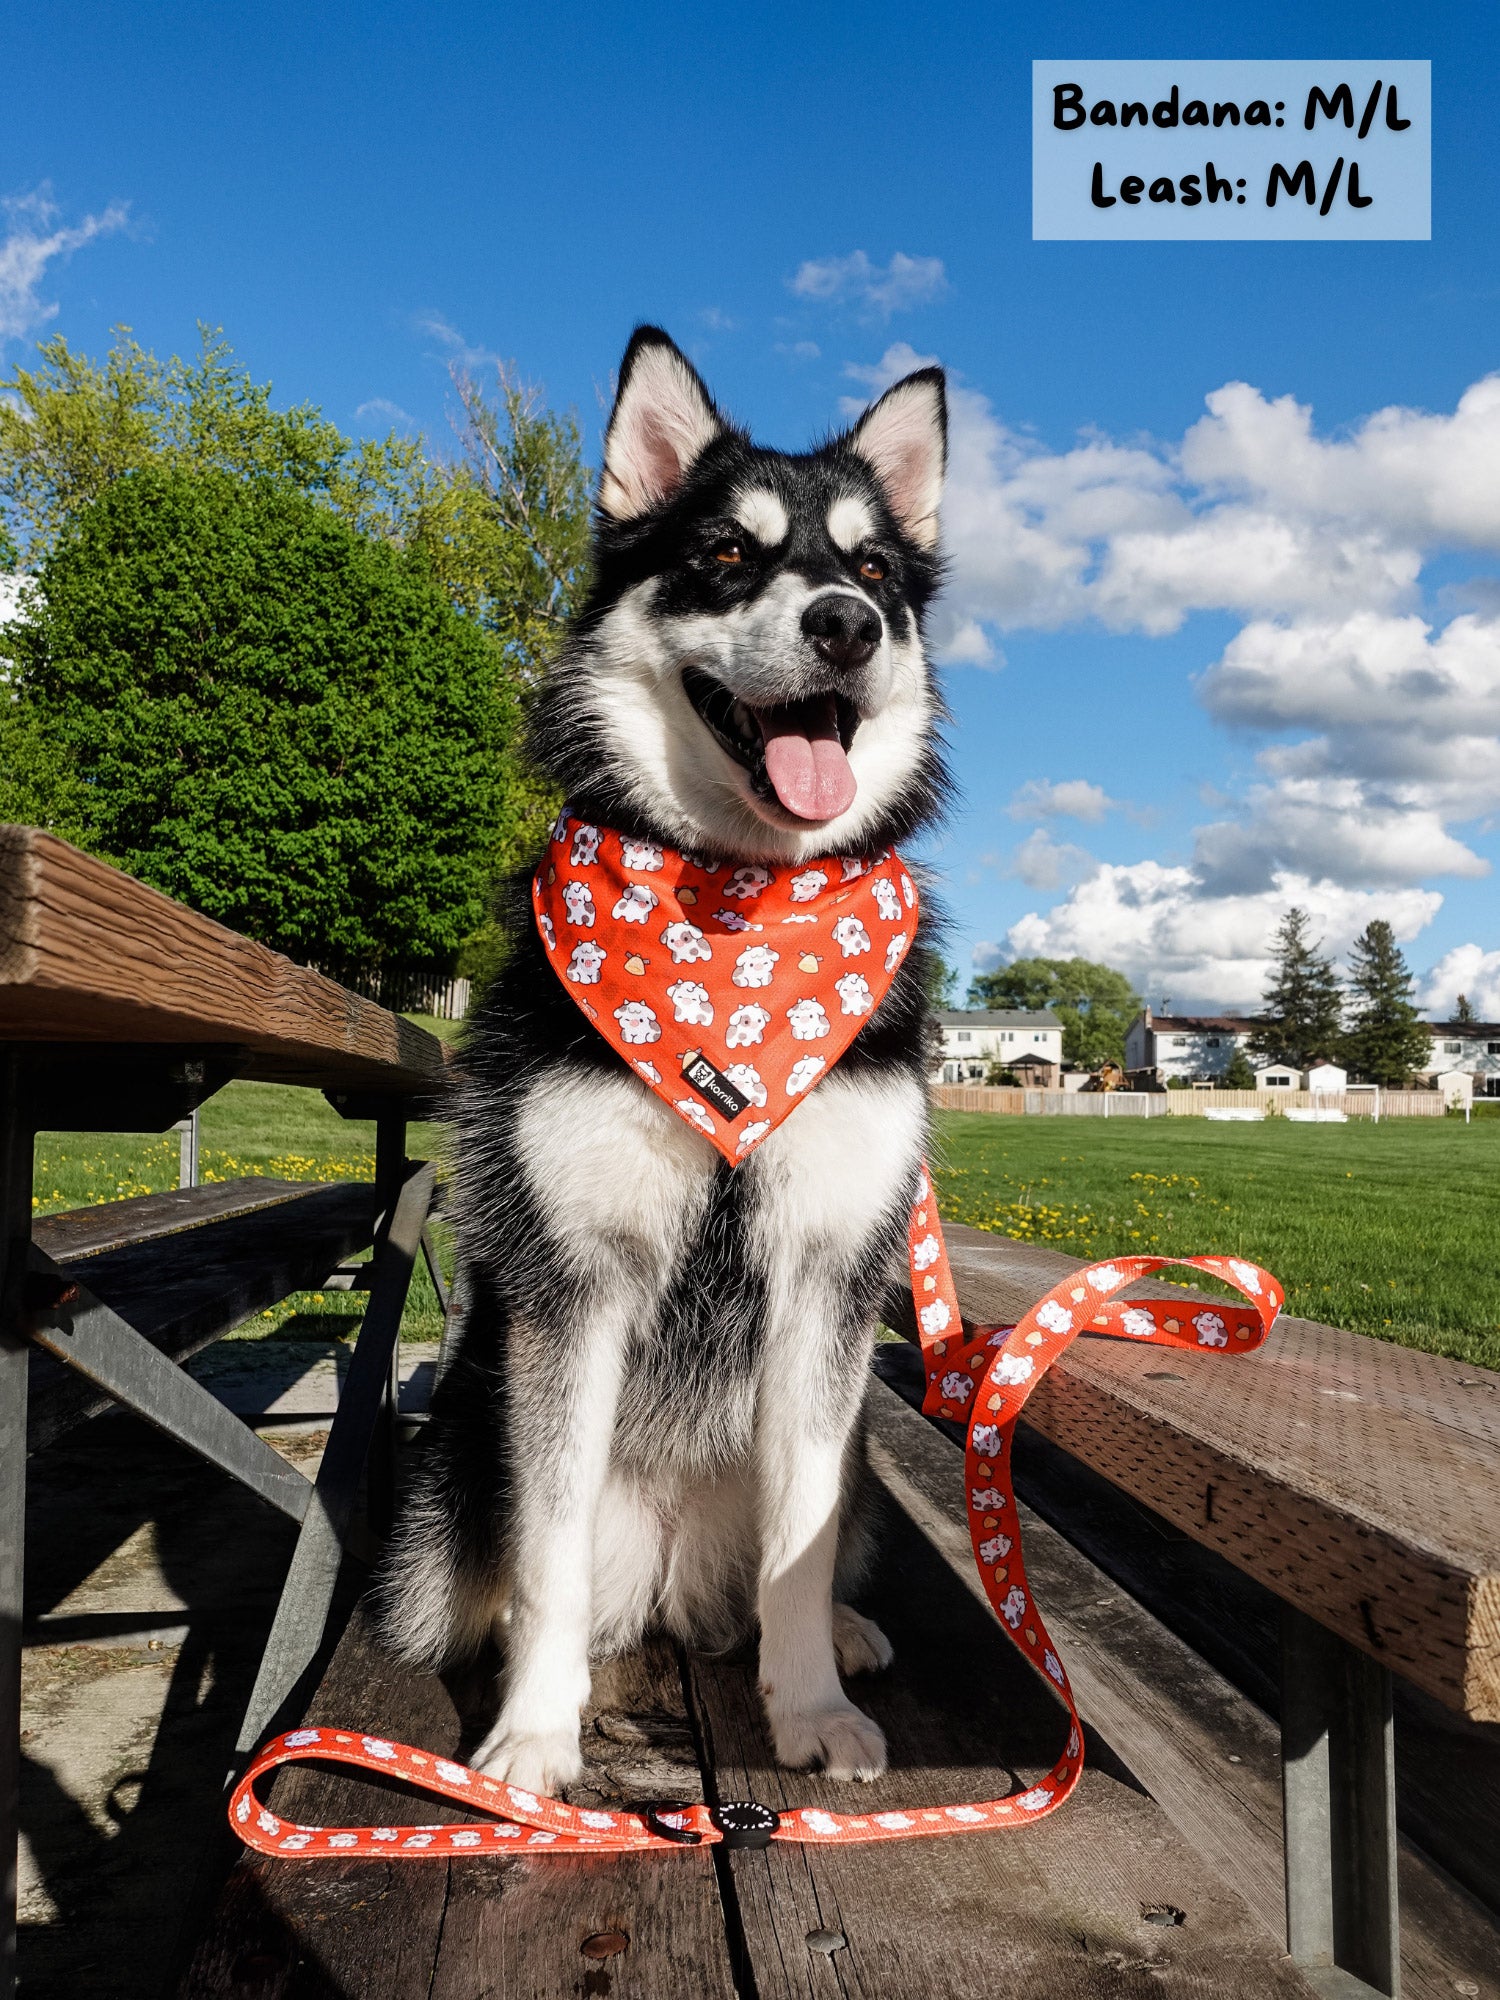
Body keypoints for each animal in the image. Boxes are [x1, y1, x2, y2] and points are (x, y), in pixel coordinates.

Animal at [370, 320, 944, 1792]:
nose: (846, 625)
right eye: (728, 552)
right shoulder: (572, 1288)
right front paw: (532, 1735)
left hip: (861, 1455)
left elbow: (801, 1540)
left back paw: (838, 1632)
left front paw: (809, 1710)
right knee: (497, 1578)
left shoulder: (826, 1282)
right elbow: (552, 1548)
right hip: (448, 1482)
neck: (738, 921)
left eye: (874, 569)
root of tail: (680, 1575)